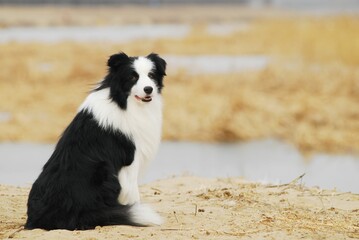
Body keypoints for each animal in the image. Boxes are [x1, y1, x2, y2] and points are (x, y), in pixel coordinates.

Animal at [25, 52, 167, 231]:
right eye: (133, 77)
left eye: (151, 75)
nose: (148, 89)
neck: (123, 102)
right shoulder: (130, 161)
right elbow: (133, 193)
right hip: (104, 170)